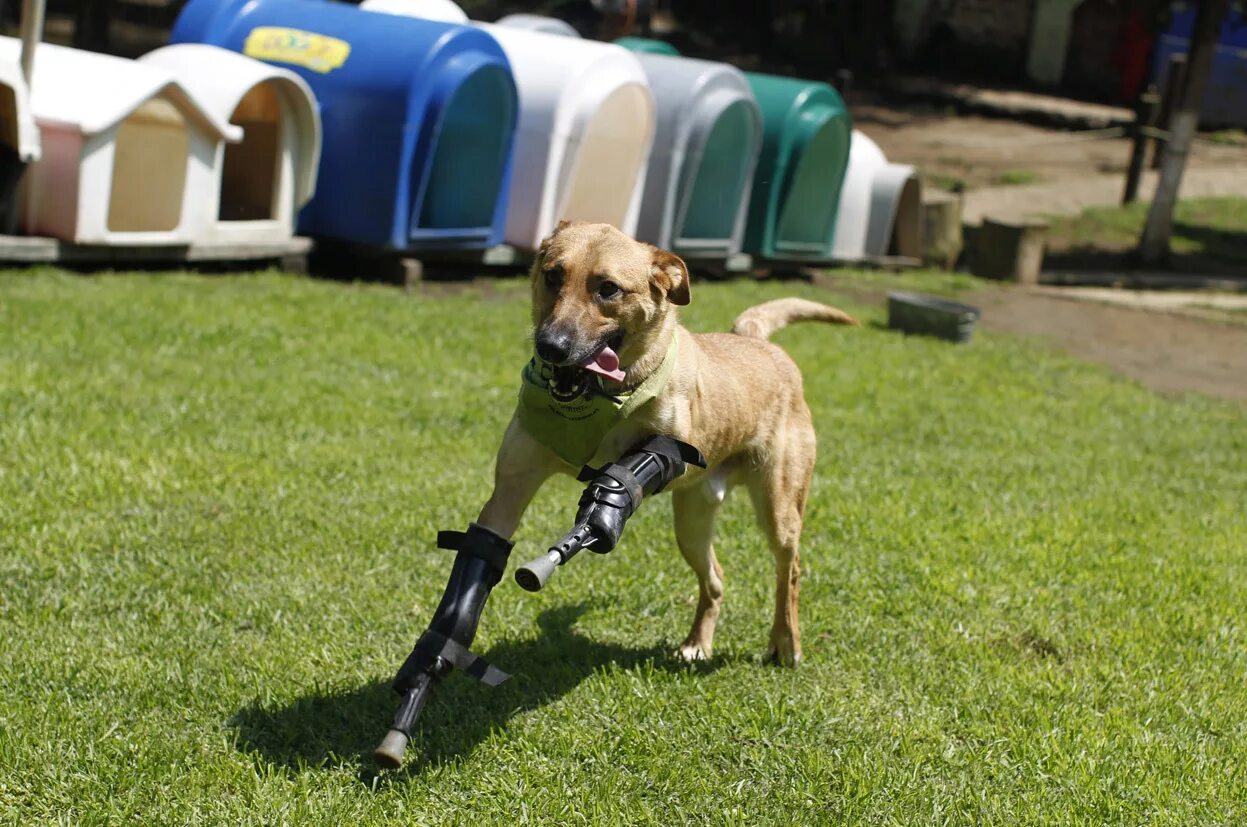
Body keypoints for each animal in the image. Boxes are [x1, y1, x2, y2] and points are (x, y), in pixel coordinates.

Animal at [471, 222, 852, 668]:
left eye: (608, 288)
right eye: (553, 275)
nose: (551, 346)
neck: (603, 399)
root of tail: (760, 342)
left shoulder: (673, 448)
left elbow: (640, 462)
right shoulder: (511, 488)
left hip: (780, 509)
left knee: (788, 572)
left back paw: (786, 643)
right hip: (691, 524)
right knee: (716, 581)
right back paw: (698, 643)